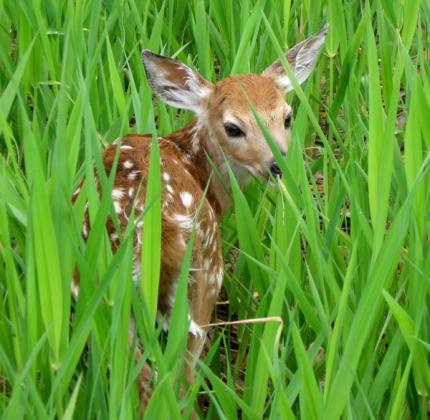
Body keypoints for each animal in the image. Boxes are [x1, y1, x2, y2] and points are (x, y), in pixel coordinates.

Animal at [73, 25, 326, 404]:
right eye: (233, 127)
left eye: (287, 117)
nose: (277, 165)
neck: (194, 162)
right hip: (205, 270)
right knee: (182, 375)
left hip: (98, 293)